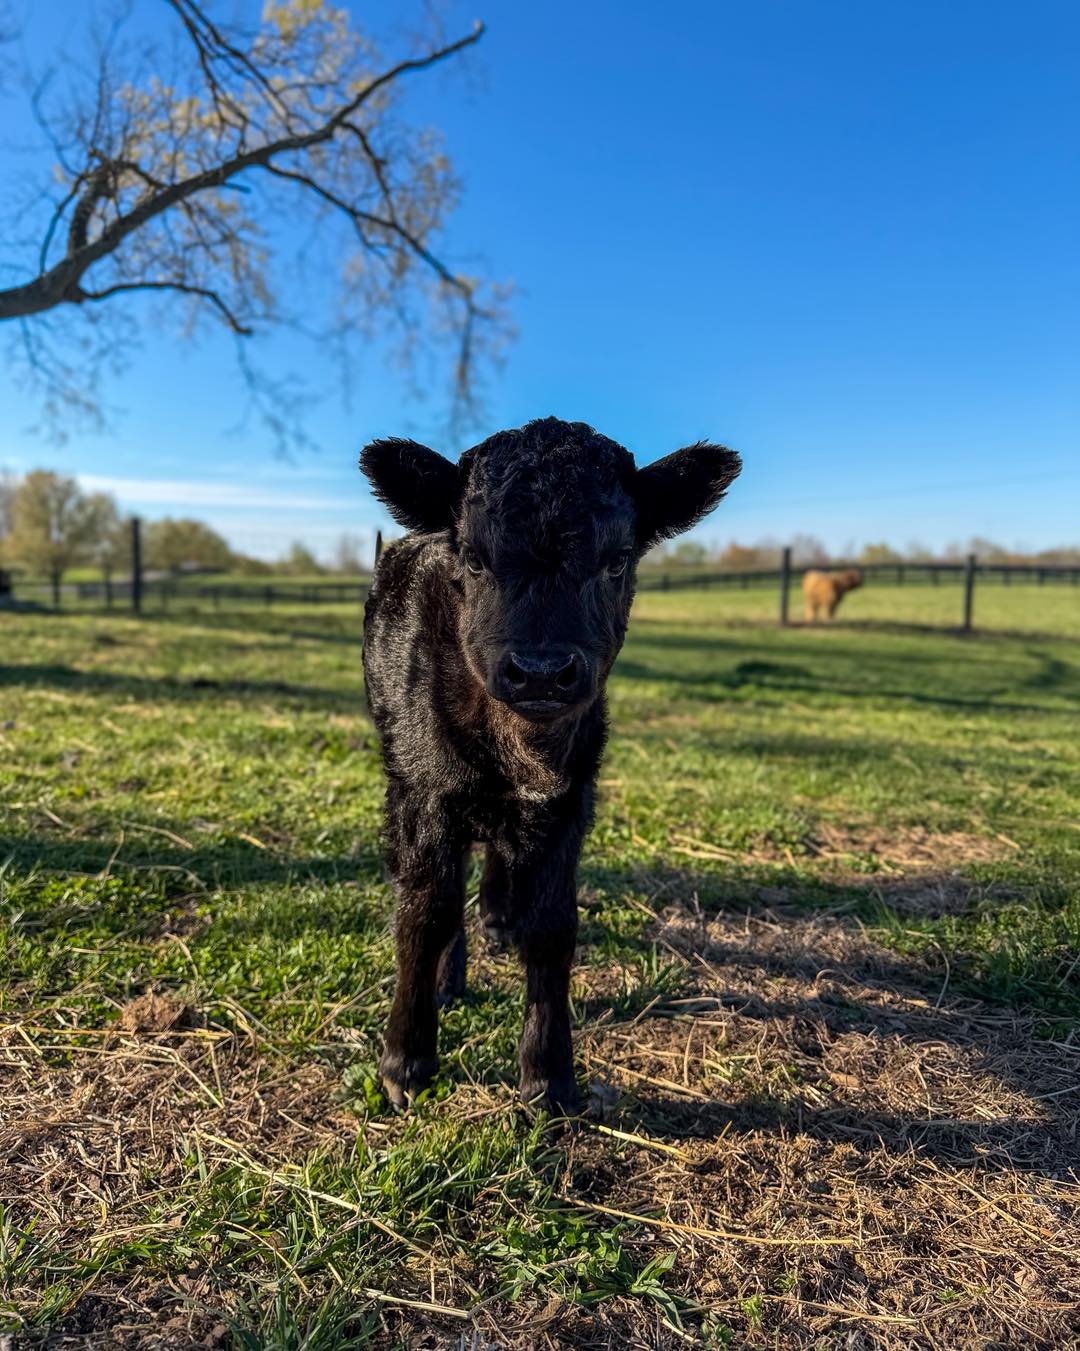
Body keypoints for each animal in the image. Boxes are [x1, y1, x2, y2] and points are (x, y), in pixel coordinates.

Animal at [360, 417, 740, 1114]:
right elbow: (424, 913)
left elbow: (553, 927)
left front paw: (549, 1076)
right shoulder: (426, 796)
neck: (522, 751)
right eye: (473, 559)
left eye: (617, 559)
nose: (539, 671)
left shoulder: (570, 801)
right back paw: (450, 978)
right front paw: (406, 1060)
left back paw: (495, 922)